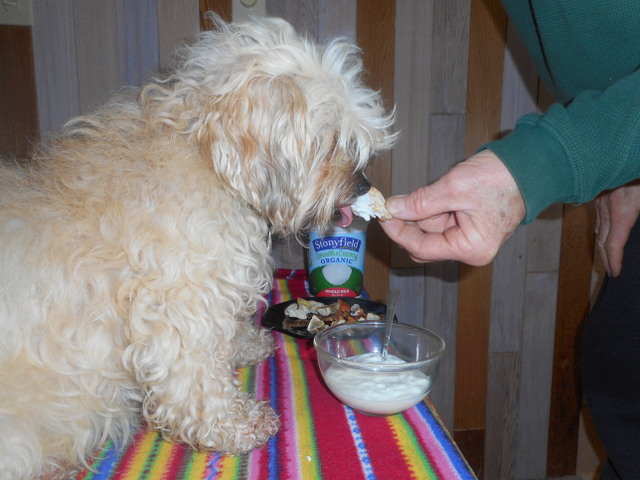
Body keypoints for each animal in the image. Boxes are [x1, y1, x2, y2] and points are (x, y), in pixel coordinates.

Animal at [0, 15, 396, 480]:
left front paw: (246, 344)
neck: (208, 157)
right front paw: (237, 424)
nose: (364, 185)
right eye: (333, 140)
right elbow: (199, 384)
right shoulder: (181, 309)